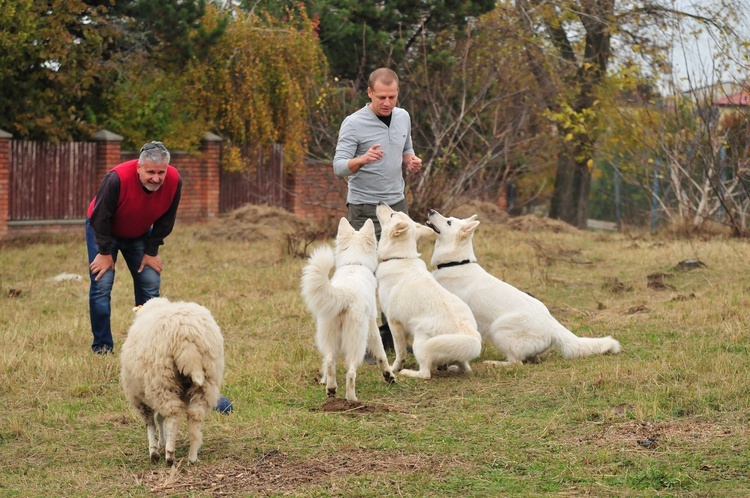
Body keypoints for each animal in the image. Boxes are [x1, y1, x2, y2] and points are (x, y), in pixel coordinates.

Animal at [120, 298, 225, 464]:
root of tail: (186, 338)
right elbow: (159, 417)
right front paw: (161, 443)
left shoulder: (138, 396)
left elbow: (150, 422)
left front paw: (154, 450)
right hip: (207, 380)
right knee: (195, 416)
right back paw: (192, 456)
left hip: (162, 380)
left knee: (173, 415)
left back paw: (170, 454)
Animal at [302, 218, 396, 400]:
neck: (354, 263)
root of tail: (343, 294)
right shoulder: (372, 324)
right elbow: (381, 353)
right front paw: (388, 375)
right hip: (357, 342)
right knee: (351, 372)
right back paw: (352, 399)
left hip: (329, 336)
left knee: (330, 362)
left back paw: (331, 389)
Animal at [374, 204, 482, 380]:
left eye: (392, 214)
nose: (380, 202)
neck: (400, 257)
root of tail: (471, 337)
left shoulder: (394, 323)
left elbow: (400, 353)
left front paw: (395, 368)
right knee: (465, 368)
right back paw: (451, 368)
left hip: (419, 339)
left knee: (425, 373)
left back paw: (408, 372)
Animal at [428, 208, 624, 364]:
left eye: (449, 222)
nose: (431, 210)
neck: (455, 263)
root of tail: (552, 323)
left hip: (498, 328)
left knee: (516, 363)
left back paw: (494, 363)